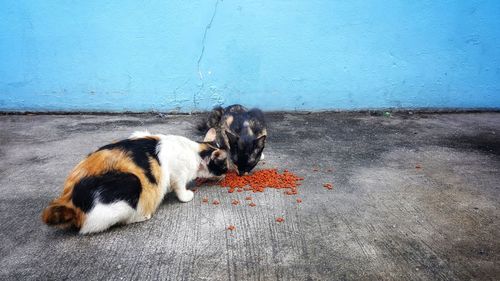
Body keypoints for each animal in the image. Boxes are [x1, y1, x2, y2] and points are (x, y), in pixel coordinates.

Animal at [42, 130, 228, 233]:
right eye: (225, 165)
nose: (226, 174)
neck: (196, 151)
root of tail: (68, 201)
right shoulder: (178, 174)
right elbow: (180, 190)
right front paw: (187, 195)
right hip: (132, 183)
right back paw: (143, 215)